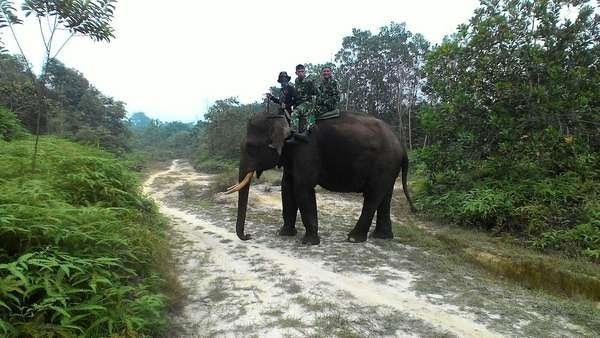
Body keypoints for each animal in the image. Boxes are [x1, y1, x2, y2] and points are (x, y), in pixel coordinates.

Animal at [227, 109, 414, 244]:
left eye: (250, 147)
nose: (249, 236)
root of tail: (401, 146)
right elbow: (287, 186)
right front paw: (284, 233)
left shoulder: (305, 149)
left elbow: (302, 187)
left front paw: (309, 242)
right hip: (389, 168)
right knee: (385, 196)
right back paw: (382, 236)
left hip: (384, 163)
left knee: (373, 196)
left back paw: (353, 238)